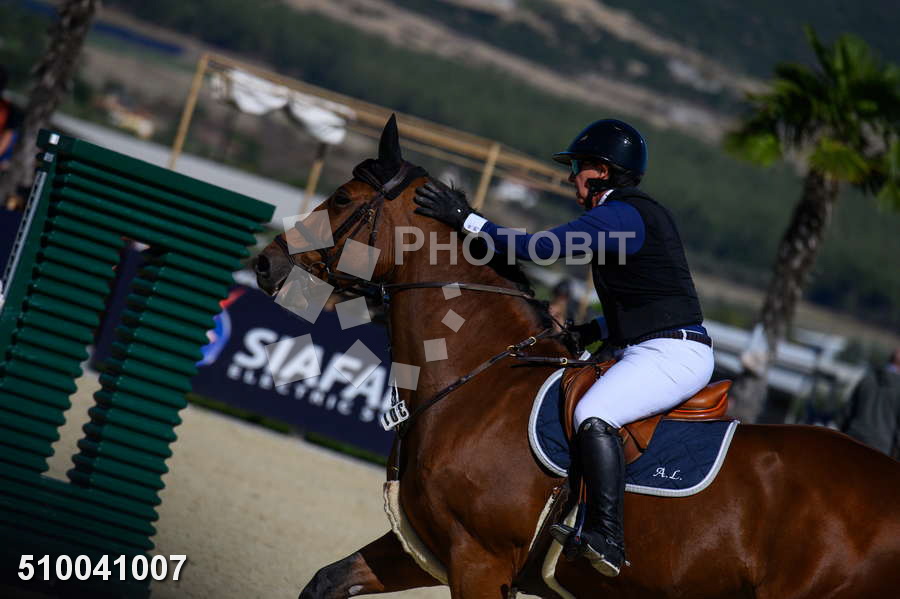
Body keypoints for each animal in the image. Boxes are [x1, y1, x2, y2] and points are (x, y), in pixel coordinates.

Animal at [254, 117, 900, 599]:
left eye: (342, 198)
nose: (265, 264)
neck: (479, 381)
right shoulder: (429, 549)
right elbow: (325, 581)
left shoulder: (479, 561)